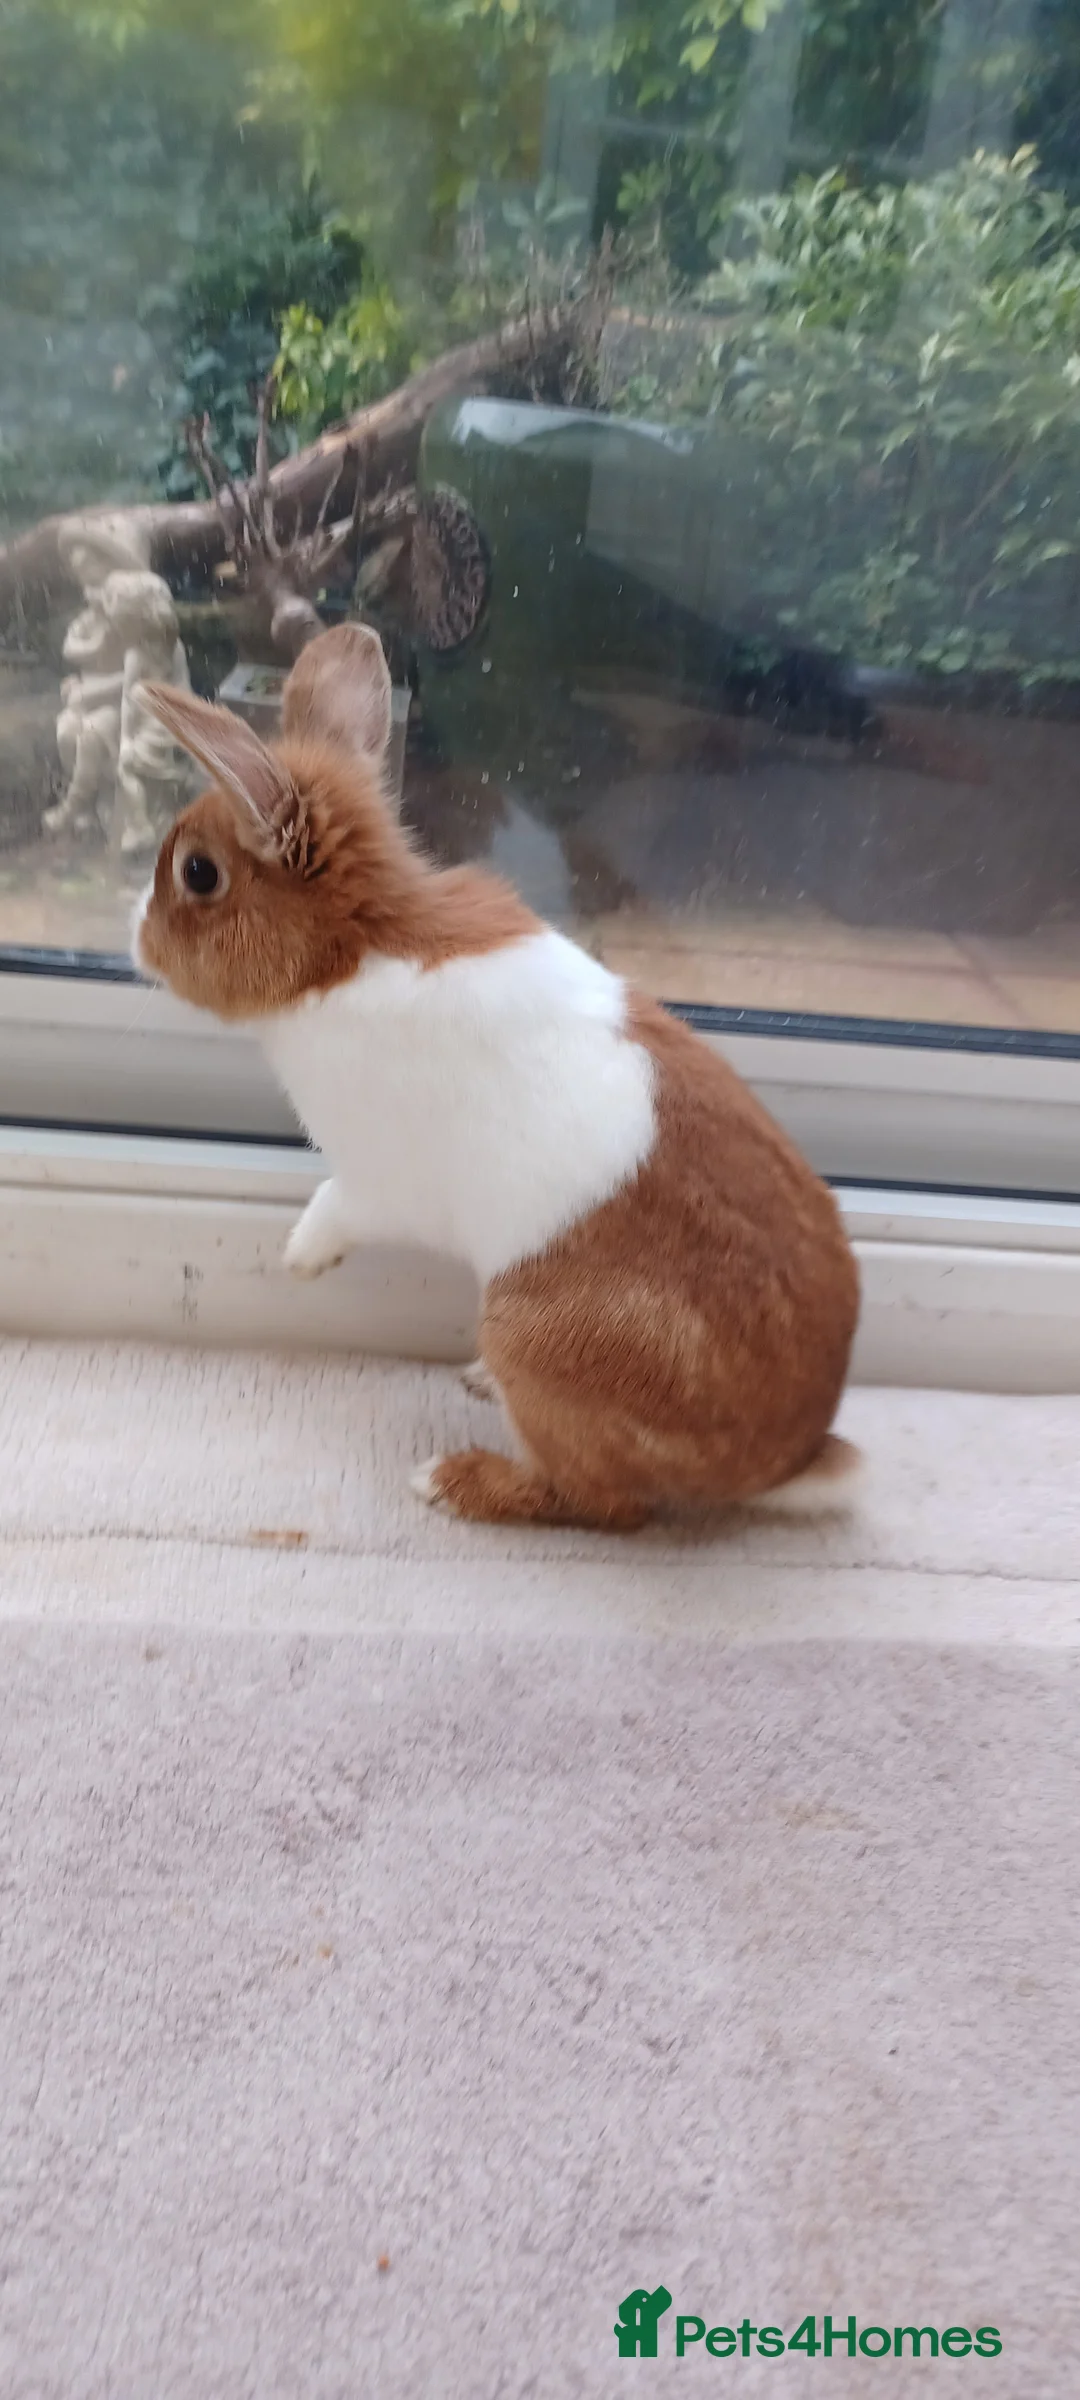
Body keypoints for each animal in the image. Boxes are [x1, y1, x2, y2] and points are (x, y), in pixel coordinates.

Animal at [133, 622, 860, 1532]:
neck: (353, 948)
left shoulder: (375, 1177)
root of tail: (783, 1463)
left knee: (604, 1504)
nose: (136, 937)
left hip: (534, 1339)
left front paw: (300, 1261)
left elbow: (335, 1204)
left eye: (198, 873)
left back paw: (453, 1478)